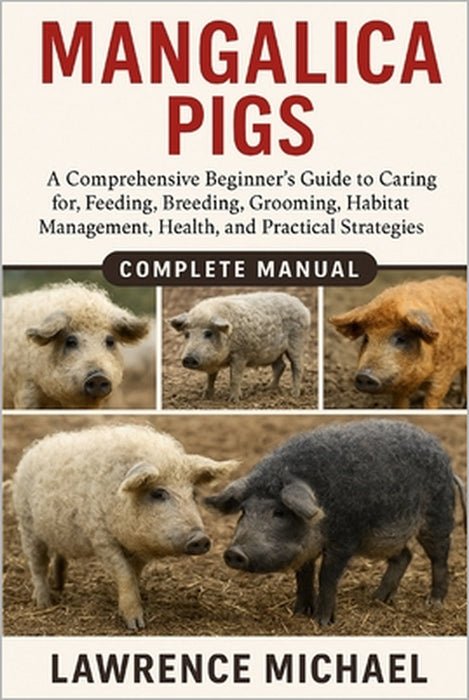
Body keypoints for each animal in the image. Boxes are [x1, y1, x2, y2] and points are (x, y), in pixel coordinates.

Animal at [12, 423, 238, 630]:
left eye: (193, 494)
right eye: (158, 493)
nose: (200, 539)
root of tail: (34, 448)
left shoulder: (140, 549)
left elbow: (134, 572)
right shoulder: (100, 536)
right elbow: (124, 573)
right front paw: (136, 625)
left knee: (59, 554)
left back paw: (58, 586)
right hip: (27, 524)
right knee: (37, 564)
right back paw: (44, 602)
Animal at [170, 292, 310, 402]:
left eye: (208, 333)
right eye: (187, 334)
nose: (188, 359)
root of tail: (304, 308)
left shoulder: (240, 354)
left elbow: (235, 377)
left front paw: (233, 401)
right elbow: (211, 377)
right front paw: (206, 397)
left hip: (297, 341)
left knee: (297, 366)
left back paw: (294, 394)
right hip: (274, 352)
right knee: (280, 366)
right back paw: (268, 389)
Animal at [207, 420, 463, 626]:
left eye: (279, 512)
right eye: (243, 511)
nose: (234, 553)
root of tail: (447, 464)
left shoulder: (344, 537)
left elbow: (327, 576)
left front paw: (322, 623)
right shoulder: (307, 549)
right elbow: (304, 577)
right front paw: (299, 614)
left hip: (438, 515)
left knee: (439, 557)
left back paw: (433, 602)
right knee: (405, 555)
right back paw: (377, 599)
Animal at [329, 276, 467, 409]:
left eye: (401, 338)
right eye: (366, 338)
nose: (365, 376)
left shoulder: (442, 375)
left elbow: (432, 400)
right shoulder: (400, 388)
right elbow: (400, 403)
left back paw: (461, 403)